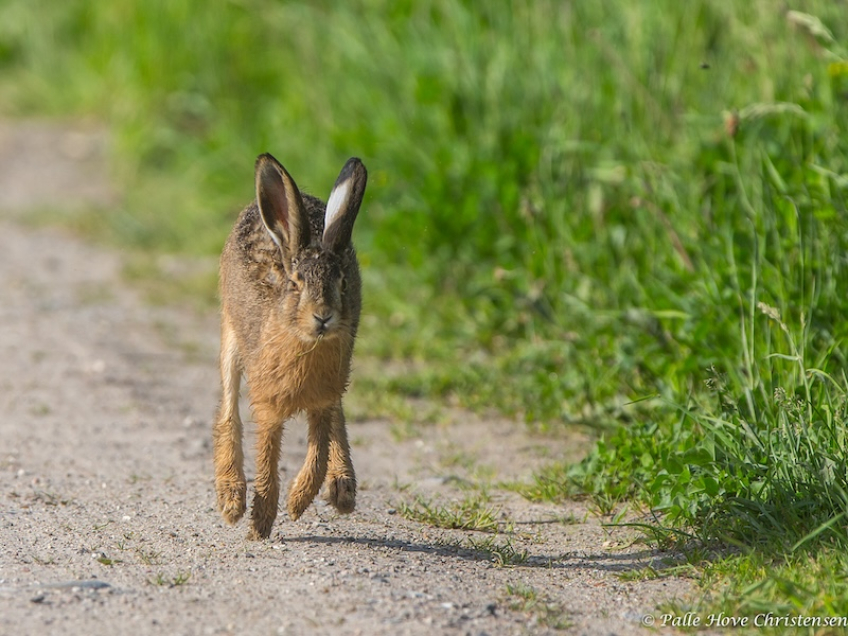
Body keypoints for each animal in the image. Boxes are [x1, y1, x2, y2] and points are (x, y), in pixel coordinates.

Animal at [213, 153, 367, 540]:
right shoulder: (269, 405)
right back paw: (231, 499)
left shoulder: (324, 401)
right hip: (231, 334)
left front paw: (298, 502)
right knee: (228, 410)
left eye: (342, 284)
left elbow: (318, 454)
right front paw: (260, 523)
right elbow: (267, 458)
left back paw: (343, 489)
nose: (323, 316)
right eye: (295, 283)